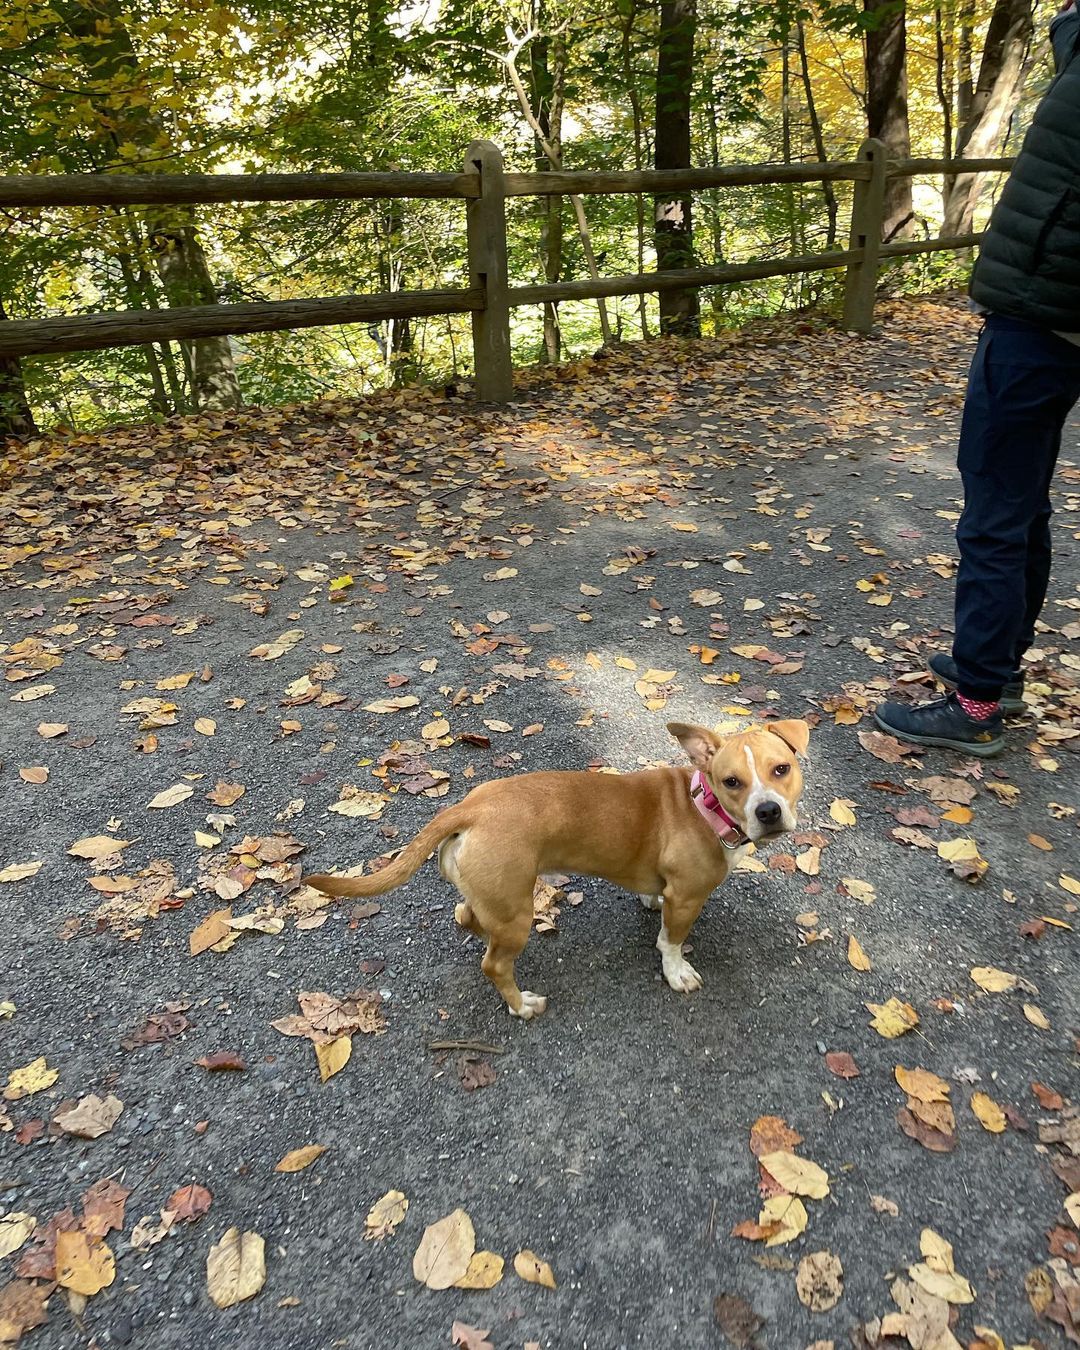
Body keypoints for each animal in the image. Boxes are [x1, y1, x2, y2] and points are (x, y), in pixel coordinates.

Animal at [303, 723, 810, 1015]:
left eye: (782, 769)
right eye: (732, 782)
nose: (768, 811)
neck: (704, 805)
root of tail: (471, 807)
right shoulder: (687, 899)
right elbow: (670, 942)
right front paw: (676, 972)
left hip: (496, 901)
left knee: (466, 917)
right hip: (516, 914)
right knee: (494, 963)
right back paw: (521, 1005)